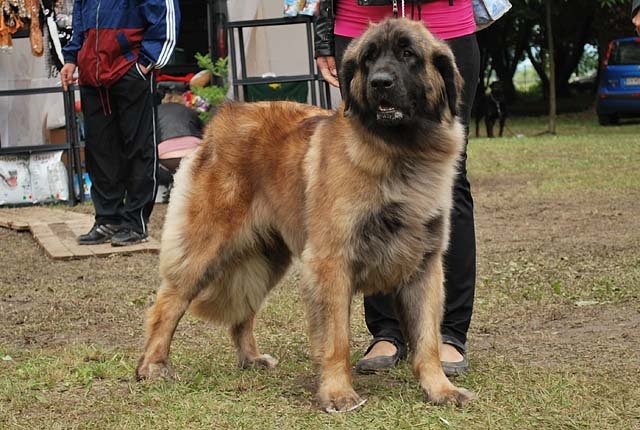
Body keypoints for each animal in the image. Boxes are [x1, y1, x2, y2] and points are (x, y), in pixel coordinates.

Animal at [136, 18, 476, 412]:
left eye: (408, 54)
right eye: (369, 59)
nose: (380, 82)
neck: (399, 152)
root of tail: (224, 117)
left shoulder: (424, 265)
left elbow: (427, 340)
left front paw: (440, 388)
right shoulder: (331, 262)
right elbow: (336, 338)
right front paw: (338, 392)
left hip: (266, 258)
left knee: (243, 310)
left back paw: (250, 358)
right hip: (206, 247)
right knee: (169, 304)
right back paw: (153, 366)